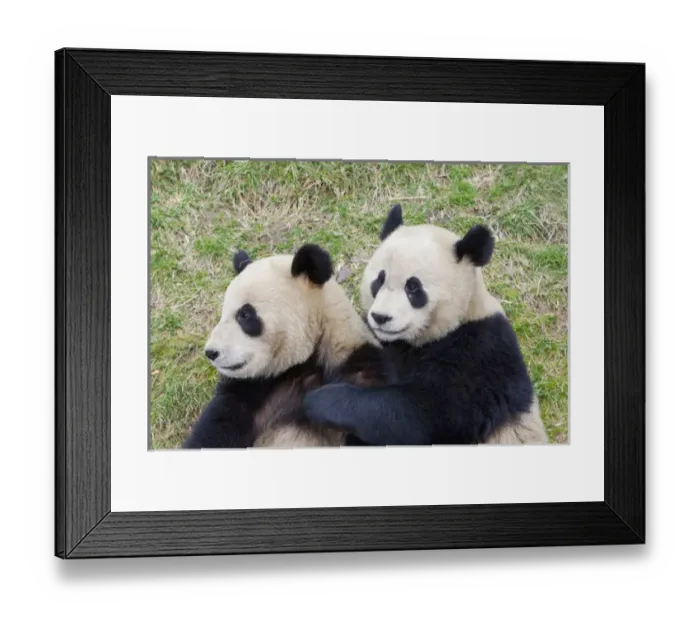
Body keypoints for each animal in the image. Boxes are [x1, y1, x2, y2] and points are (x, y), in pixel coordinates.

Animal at [181, 243, 389, 449]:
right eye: (223, 313)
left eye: (245, 315)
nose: (211, 352)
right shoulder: (252, 389)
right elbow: (214, 431)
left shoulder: (362, 372)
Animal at [301, 204, 549, 446]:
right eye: (379, 280)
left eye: (413, 287)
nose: (381, 317)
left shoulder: (482, 352)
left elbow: (425, 414)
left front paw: (320, 400)